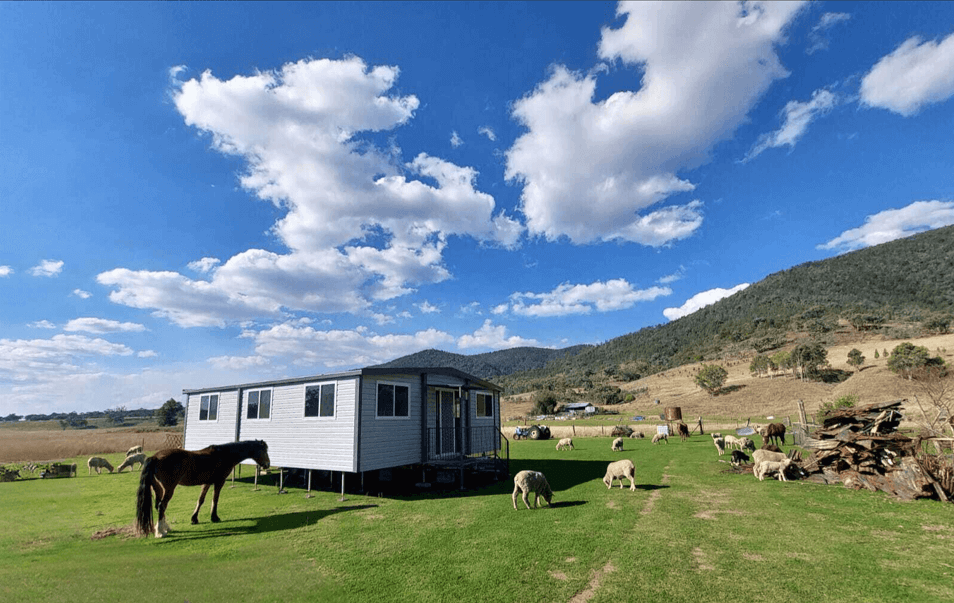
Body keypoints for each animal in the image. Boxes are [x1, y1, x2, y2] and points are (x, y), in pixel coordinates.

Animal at [134, 438, 270, 536]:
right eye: (264, 450)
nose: (267, 465)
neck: (225, 454)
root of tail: (155, 457)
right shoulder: (219, 482)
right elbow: (215, 499)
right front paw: (214, 517)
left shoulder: (207, 483)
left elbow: (201, 500)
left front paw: (194, 518)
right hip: (168, 489)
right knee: (162, 506)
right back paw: (161, 532)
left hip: (158, 489)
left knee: (159, 506)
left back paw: (165, 528)